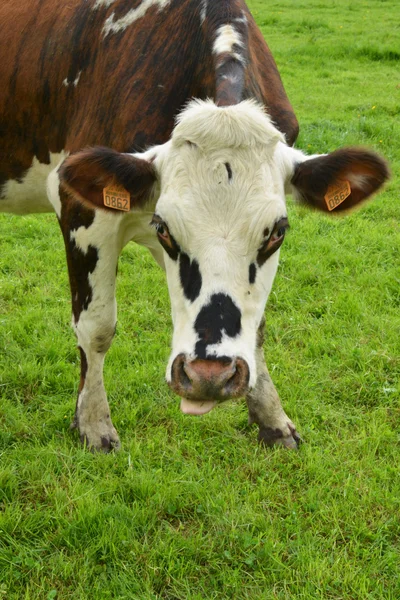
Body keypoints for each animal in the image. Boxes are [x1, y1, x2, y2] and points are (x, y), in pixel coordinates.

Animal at [0, 0, 388, 450]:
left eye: (277, 232)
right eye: (164, 228)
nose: (208, 377)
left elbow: (256, 326)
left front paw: (272, 417)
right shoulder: (82, 213)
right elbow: (96, 326)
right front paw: (94, 424)